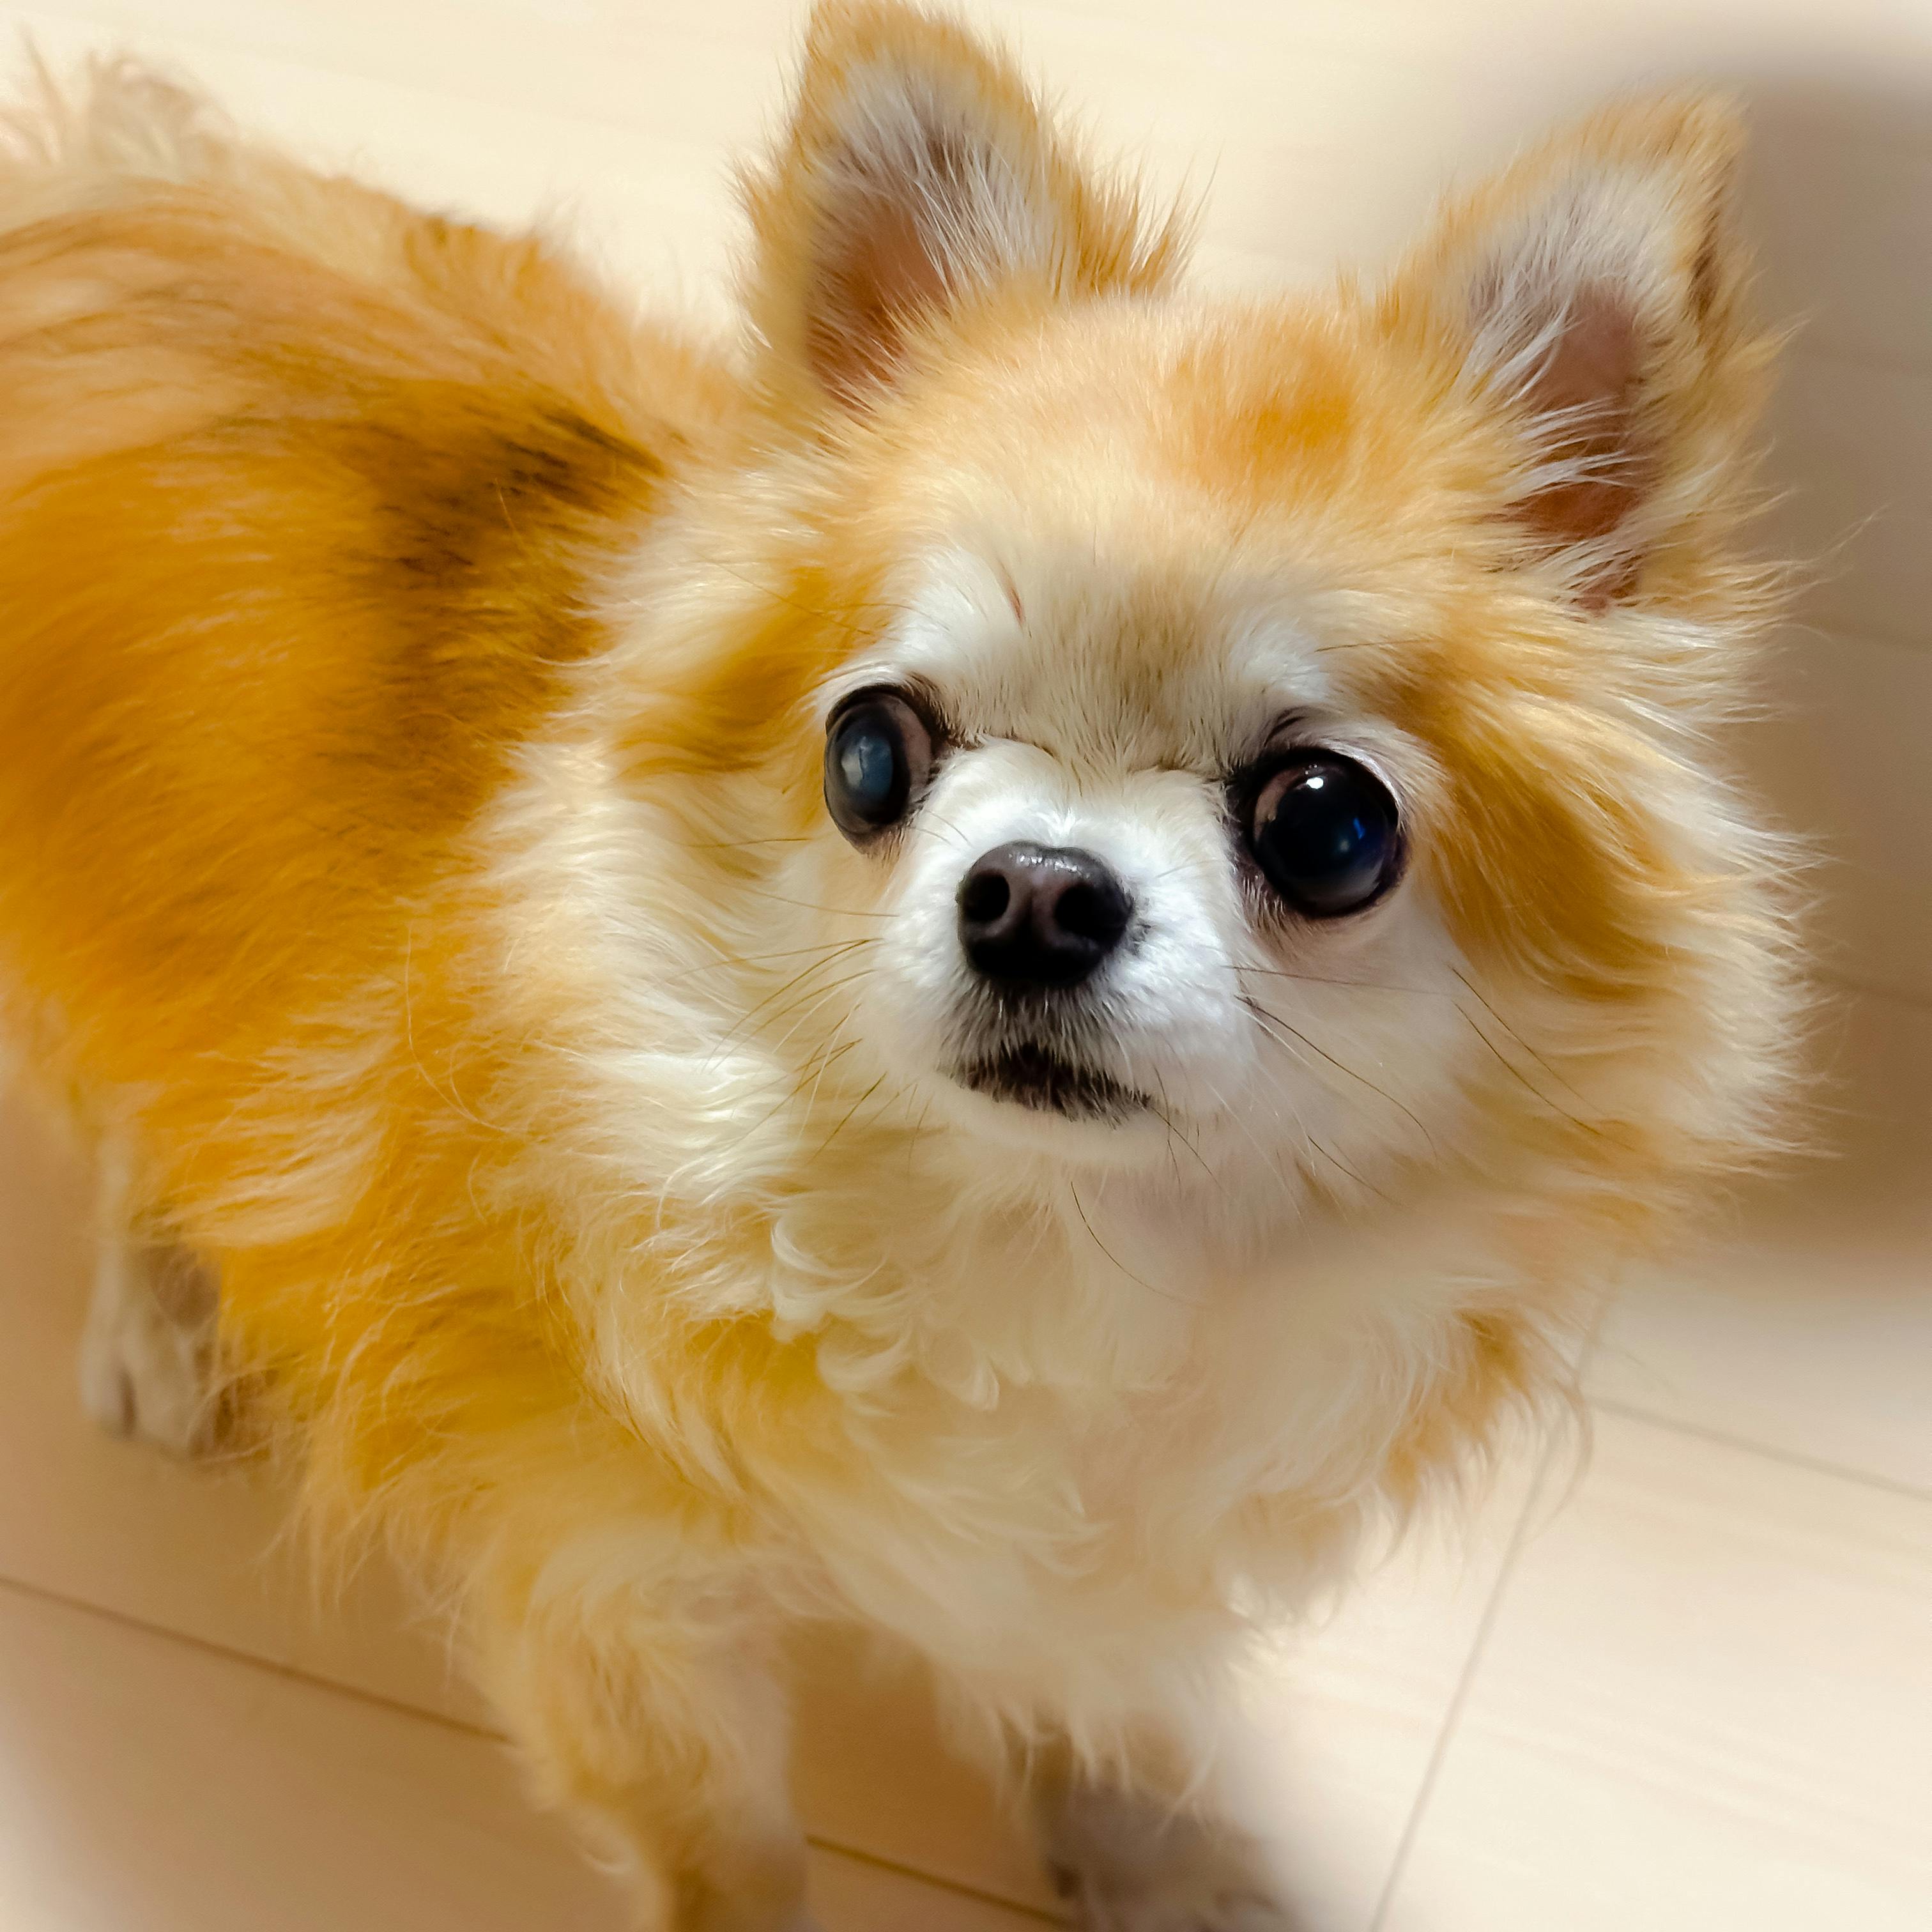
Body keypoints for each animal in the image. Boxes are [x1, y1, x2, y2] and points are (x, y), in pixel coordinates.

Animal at [0, 5, 1798, 1925]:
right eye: (871, 754)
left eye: (1328, 827)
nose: (1036, 892)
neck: (1033, 1248)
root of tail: (99, 184)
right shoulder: (615, 1597)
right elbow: (730, 1855)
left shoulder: (1108, 1555)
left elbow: (1095, 1687)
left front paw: (1150, 1864)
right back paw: (157, 1318)